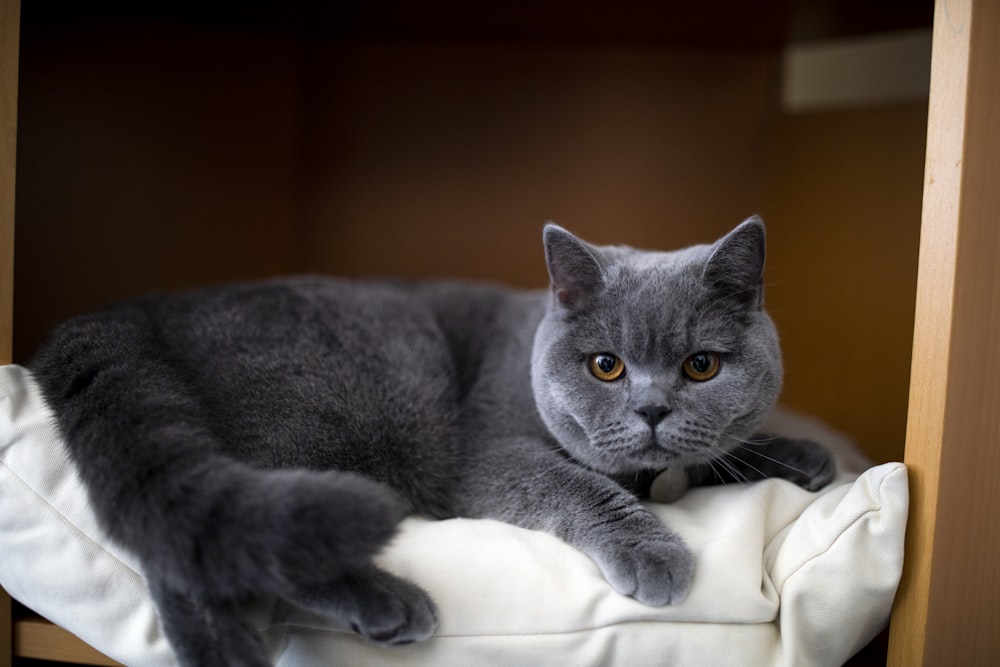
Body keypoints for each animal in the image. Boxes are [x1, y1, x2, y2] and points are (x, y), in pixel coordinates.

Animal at [27, 217, 832, 664]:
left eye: (702, 366)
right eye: (606, 365)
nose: (654, 409)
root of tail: (132, 311)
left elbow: (714, 457)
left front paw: (802, 457)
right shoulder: (489, 456)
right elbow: (574, 483)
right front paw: (653, 551)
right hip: (348, 402)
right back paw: (371, 608)